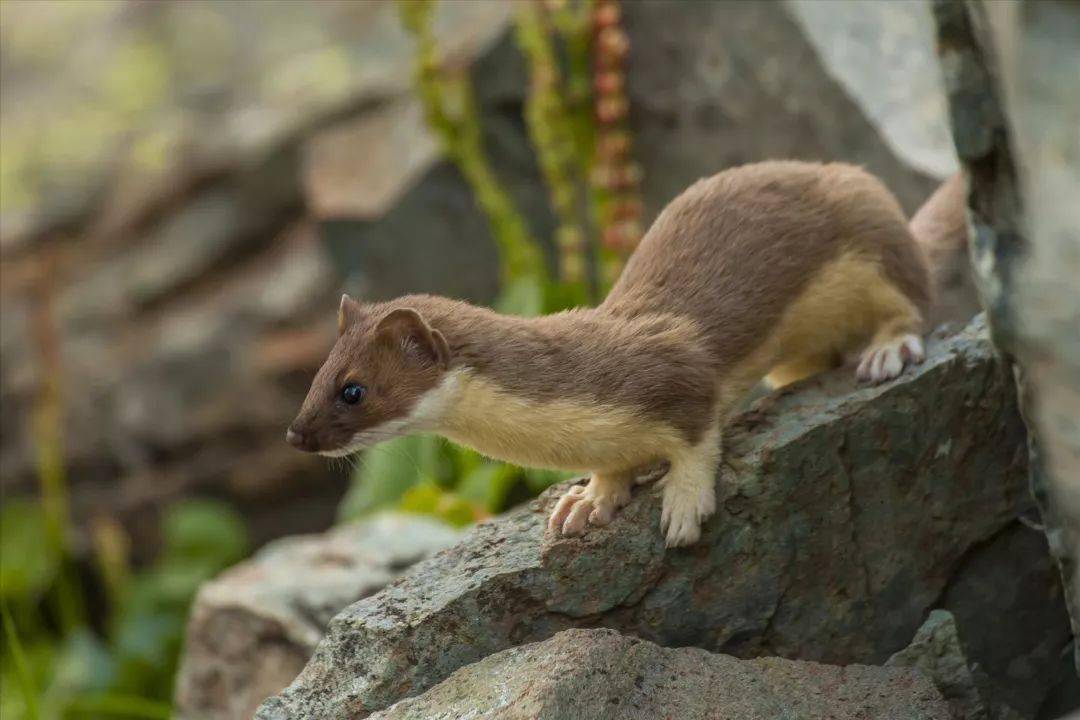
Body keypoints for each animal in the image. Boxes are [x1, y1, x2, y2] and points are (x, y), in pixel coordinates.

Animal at [285, 161, 954, 546]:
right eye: (316, 377)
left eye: (353, 388)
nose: (296, 434)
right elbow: (612, 465)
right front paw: (588, 500)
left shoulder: (676, 371)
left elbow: (698, 433)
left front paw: (683, 503)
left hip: (874, 241)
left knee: (915, 296)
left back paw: (887, 350)